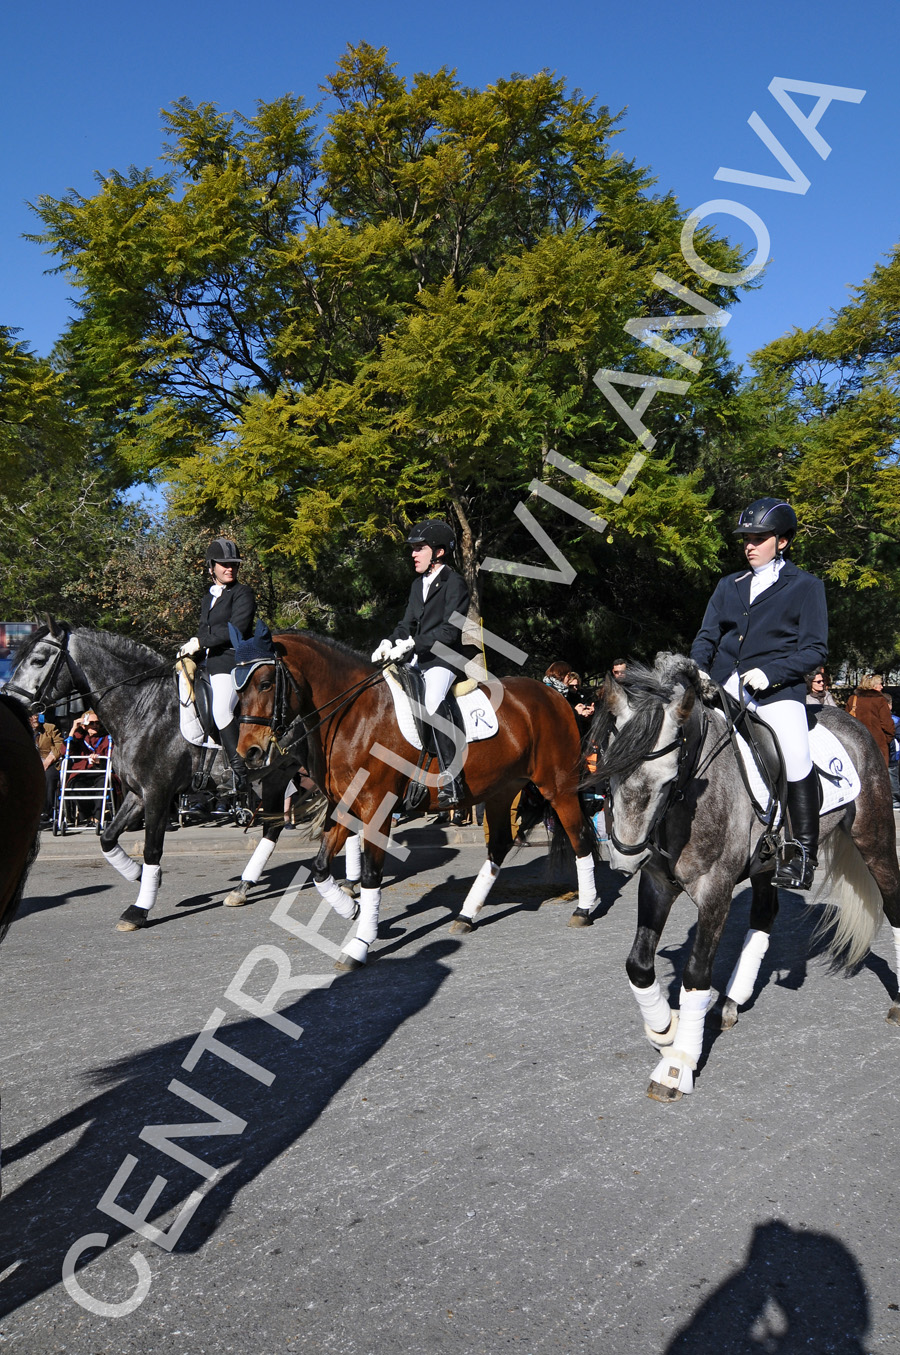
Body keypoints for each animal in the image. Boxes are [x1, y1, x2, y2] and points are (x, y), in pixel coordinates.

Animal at [7, 623, 296, 932]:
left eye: (38, 660)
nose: (10, 702)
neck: (142, 708)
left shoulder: (158, 792)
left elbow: (151, 850)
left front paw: (139, 909)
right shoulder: (137, 793)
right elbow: (107, 838)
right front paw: (139, 875)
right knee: (273, 828)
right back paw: (242, 887)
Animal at [237, 628, 596, 970]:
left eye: (266, 683)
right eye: (238, 691)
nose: (248, 753)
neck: (355, 716)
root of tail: (554, 695)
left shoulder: (376, 810)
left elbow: (370, 875)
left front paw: (360, 944)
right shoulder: (344, 809)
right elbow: (320, 869)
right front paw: (354, 910)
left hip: (558, 787)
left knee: (579, 839)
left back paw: (583, 909)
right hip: (501, 790)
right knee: (499, 846)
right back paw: (466, 916)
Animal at [588, 653, 900, 1100]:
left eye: (668, 778)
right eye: (609, 770)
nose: (625, 859)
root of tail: (851, 720)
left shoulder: (714, 890)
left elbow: (696, 974)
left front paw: (677, 1065)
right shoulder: (658, 884)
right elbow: (638, 965)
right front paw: (665, 1030)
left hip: (874, 839)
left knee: (893, 903)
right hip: (769, 864)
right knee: (764, 916)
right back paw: (732, 1002)